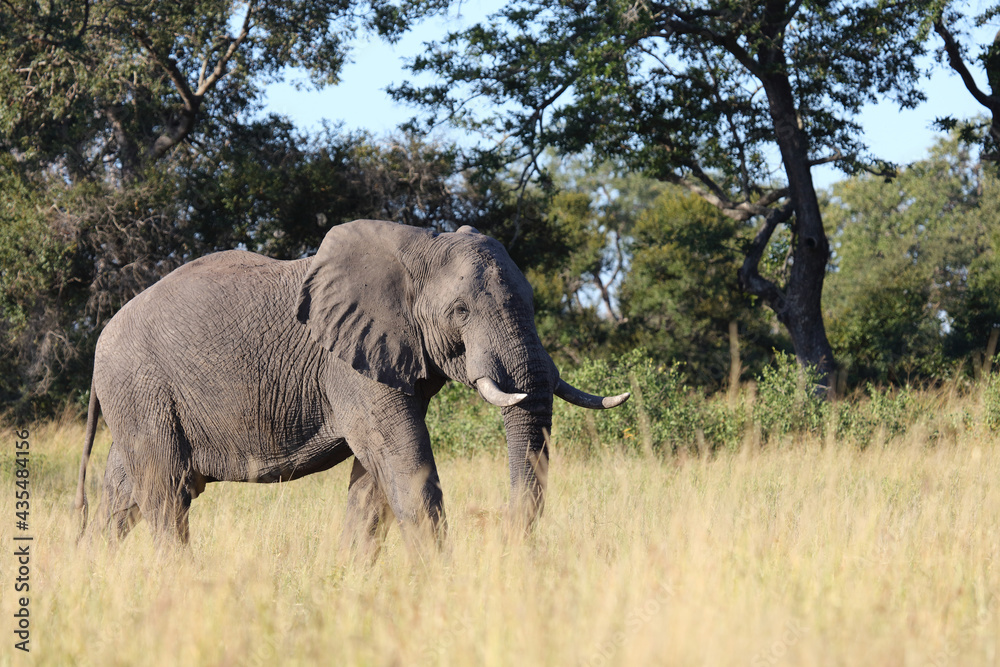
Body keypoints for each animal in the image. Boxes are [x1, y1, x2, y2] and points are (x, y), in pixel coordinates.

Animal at [74, 222, 628, 556]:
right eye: (460, 312)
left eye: (533, 302)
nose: (505, 537)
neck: (420, 247)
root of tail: (99, 343)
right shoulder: (349, 367)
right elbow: (403, 462)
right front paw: (441, 584)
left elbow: (373, 482)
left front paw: (348, 582)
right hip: (141, 386)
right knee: (166, 492)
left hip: (139, 398)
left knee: (123, 493)